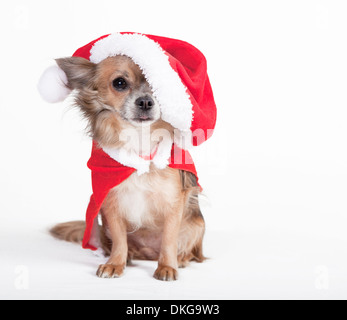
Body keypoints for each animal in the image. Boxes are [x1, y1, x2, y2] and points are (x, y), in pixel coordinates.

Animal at [49, 56, 207, 282]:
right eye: (119, 83)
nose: (146, 101)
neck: (138, 139)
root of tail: (148, 254)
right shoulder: (111, 203)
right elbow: (119, 239)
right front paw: (115, 263)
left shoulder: (173, 203)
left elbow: (169, 239)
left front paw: (167, 266)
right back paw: (129, 256)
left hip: (197, 223)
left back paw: (182, 258)